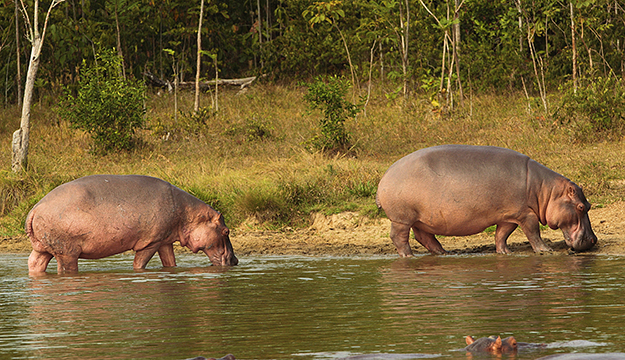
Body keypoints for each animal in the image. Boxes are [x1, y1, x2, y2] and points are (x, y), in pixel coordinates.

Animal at [26, 174, 238, 272]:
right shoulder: (151, 242)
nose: (236, 260)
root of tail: (35, 208)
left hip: (42, 248)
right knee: (65, 268)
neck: (188, 213)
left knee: (35, 263)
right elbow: (139, 263)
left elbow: (170, 262)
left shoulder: (165, 240)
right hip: (67, 252)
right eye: (226, 231)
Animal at [372, 145, 596, 255]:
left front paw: (505, 253)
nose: (594, 240)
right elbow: (533, 232)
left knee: (424, 237)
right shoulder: (526, 214)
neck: (546, 191)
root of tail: (385, 176)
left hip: (422, 219)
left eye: (589, 205)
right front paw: (546, 251)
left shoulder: (509, 215)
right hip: (402, 218)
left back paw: (443, 253)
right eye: (580, 206)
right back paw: (409, 256)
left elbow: (501, 234)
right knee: (399, 238)